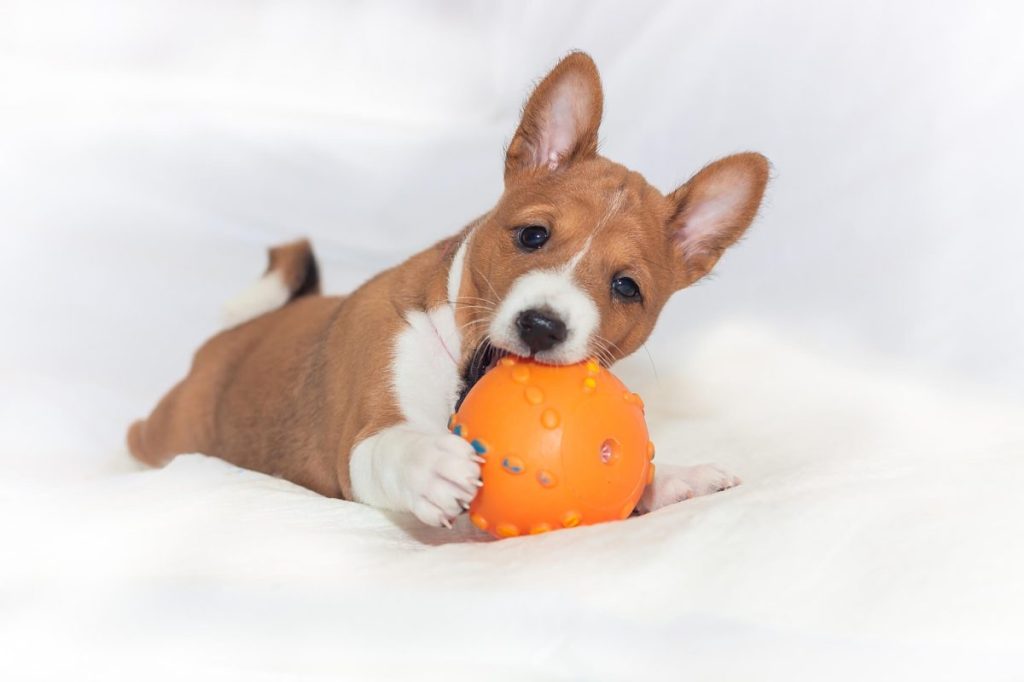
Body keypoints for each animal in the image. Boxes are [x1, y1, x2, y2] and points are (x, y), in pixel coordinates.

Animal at [128, 54, 770, 532]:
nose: (542, 326)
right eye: (533, 235)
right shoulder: (358, 442)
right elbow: (388, 449)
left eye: (626, 287)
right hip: (168, 433)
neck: (464, 365)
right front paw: (427, 465)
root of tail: (229, 336)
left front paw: (673, 478)